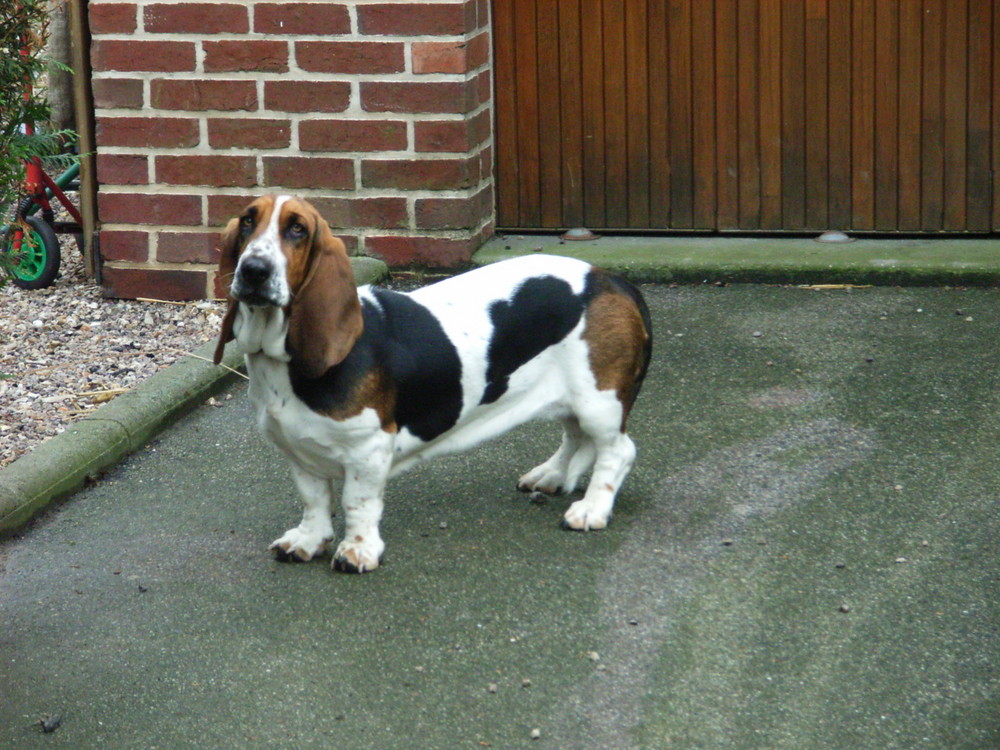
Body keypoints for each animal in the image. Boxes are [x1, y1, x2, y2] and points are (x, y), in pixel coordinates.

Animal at [215, 195, 652, 576]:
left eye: (298, 229)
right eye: (248, 222)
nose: (254, 270)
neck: (279, 359)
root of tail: (614, 281)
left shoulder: (368, 450)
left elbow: (357, 503)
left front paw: (357, 551)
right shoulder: (297, 450)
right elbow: (314, 500)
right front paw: (308, 540)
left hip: (598, 401)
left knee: (617, 450)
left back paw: (591, 509)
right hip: (577, 399)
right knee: (575, 437)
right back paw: (552, 476)